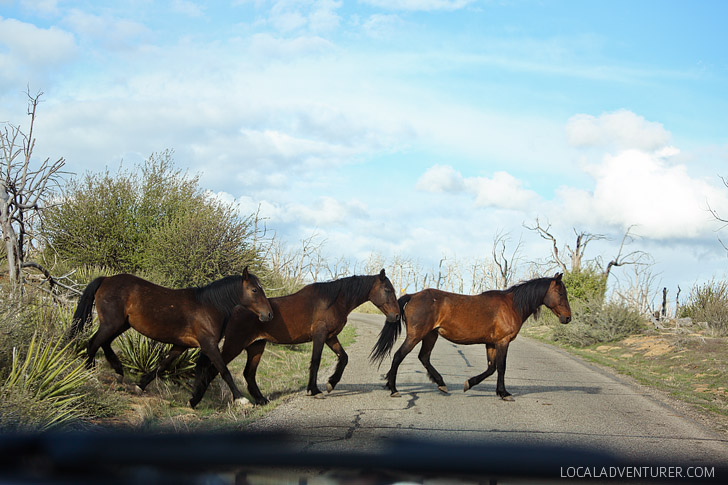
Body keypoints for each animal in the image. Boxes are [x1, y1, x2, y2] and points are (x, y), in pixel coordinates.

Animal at [67, 266, 272, 406]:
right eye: (255, 290)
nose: (269, 315)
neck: (209, 306)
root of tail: (106, 279)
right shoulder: (208, 345)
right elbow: (224, 370)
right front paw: (241, 400)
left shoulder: (181, 345)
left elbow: (162, 365)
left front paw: (140, 386)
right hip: (112, 324)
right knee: (93, 344)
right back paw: (91, 376)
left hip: (120, 325)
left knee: (104, 344)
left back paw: (118, 372)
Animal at [188, 268, 400, 408]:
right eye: (388, 290)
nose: (397, 316)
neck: (333, 301)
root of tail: (232, 310)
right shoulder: (320, 336)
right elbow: (315, 361)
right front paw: (315, 390)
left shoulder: (331, 337)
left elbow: (344, 358)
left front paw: (331, 383)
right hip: (235, 344)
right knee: (214, 368)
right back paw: (196, 401)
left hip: (256, 346)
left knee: (248, 373)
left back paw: (261, 400)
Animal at [372, 272, 572, 400]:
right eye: (561, 293)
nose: (568, 318)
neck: (512, 305)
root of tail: (413, 295)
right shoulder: (503, 342)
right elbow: (501, 367)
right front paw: (504, 393)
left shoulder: (491, 344)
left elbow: (491, 368)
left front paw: (470, 383)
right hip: (416, 335)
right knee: (399, 356)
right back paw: (393, 388)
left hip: (430, 335)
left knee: (424, 357)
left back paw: (441, 383)